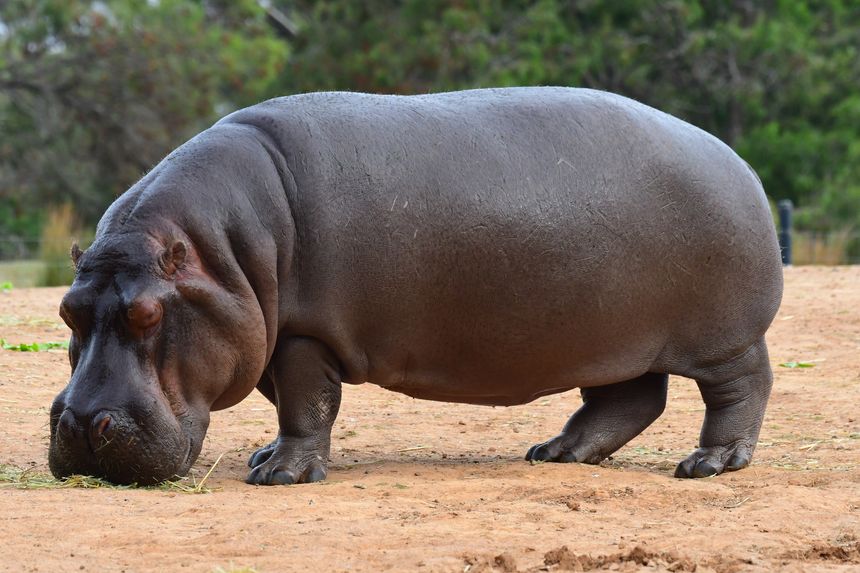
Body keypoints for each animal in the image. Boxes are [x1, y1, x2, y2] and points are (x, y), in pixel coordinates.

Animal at [49, 87, 783, 486]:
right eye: (68, 310)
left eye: (149, 316)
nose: (80, 422)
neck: (218, 252)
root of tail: (740, 162)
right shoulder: (270, 331)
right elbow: (287, 401)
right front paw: (266, 456)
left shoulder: (305, 333)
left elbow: (306, 403)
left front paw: (280, 474)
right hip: (613, 338)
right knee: (629, 398)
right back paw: (555, 452)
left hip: (721, 336)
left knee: (740, 386)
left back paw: (708, 463)